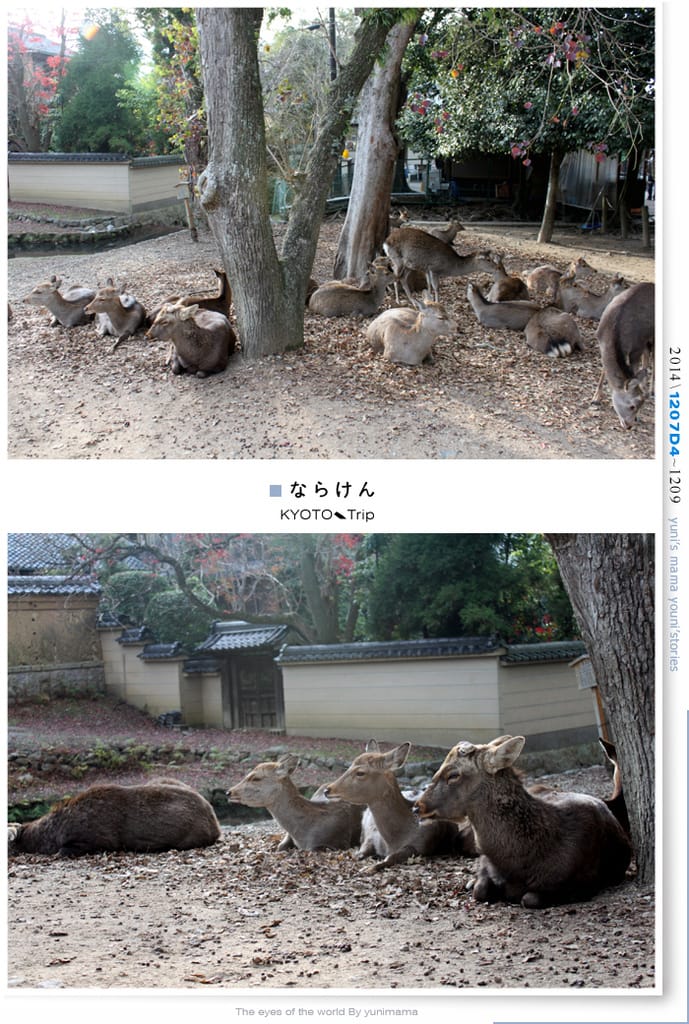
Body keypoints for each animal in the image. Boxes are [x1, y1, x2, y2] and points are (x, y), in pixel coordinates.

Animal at [324, 740, 476, 872]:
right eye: (349, 766)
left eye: (361, 772)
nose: (327, 789)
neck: (393, 840)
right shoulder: (370, 837)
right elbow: (357, 853)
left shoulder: (421, 844)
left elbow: (390, 858)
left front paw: (368, 868)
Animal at [414, 735, 632, 909]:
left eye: (453, 775)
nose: (418, 806)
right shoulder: (485, 861)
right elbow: (480, 890)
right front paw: (474, 883)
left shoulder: (583, 882)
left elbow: (529, 898)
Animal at [592, 282, 655, 429]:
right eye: (632, 406)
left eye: (639, 406)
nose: (629, 425)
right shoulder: (601, 343)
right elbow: (604, 369)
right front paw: (596, 398)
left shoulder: (636, 348)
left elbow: (634, 371)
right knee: (647, 356)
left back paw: (651, 391)